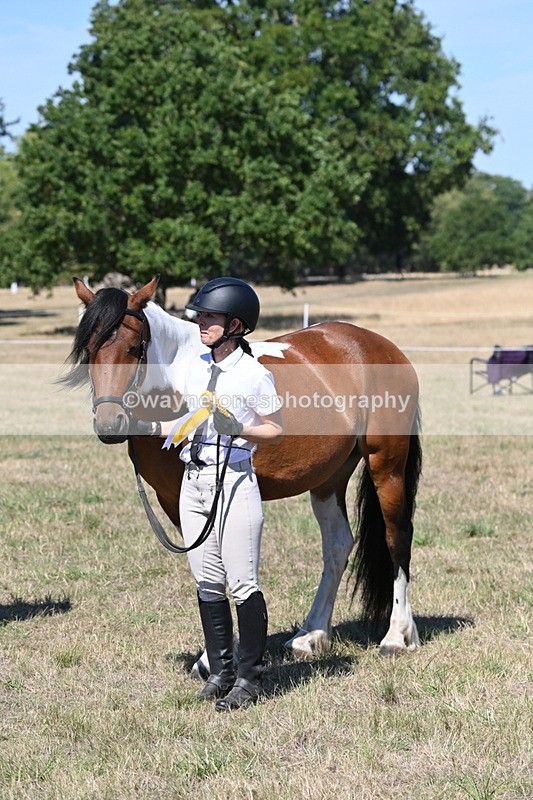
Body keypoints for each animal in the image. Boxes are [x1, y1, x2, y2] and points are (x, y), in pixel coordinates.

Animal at [66, 275, 422, 665]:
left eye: (134, 348)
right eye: (88, 347)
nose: (109, 425)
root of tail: (380, 346)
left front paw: (217, 658)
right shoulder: (176, 501)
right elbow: (206, 567)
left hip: (386, 465)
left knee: (397, 538)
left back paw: (397, 635)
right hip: (329, 478)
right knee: (338, 545)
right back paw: (311, 635)